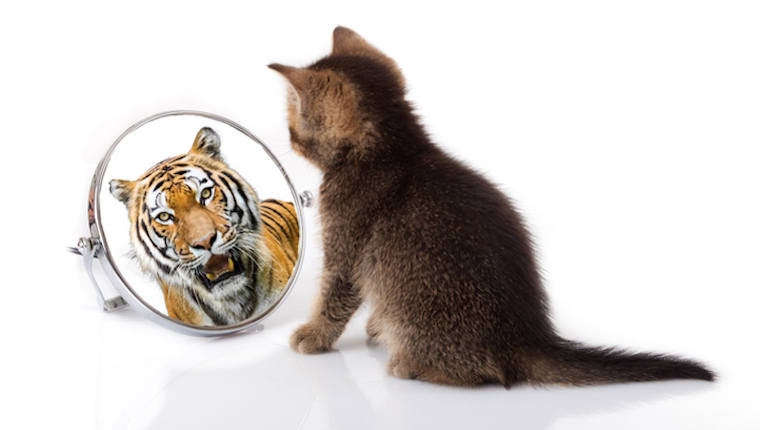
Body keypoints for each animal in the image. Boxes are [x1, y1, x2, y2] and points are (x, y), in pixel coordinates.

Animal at [270, 28, 716, 388]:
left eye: (294, 123)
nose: (288, 139)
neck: (392, 151)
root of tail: (527, 339)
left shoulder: (346, 248)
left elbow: (333, 297)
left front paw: (313, 335)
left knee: (484, 372)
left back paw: (410, 364)